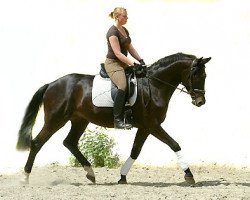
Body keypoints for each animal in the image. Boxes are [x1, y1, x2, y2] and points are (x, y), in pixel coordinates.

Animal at [15, 52, 211, 184]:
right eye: (197, 75)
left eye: (205, 75)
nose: (200, 101)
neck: (154, 85)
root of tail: (51, 84)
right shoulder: (153, 125)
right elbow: (174, 144)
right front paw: (189, 175)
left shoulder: (145, 127)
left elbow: (135, 151)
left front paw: (122, 177)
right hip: (56, 120)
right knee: (37, 143)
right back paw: (25, 177)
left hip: (80, 120)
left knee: (69, 142)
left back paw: (91, 173)